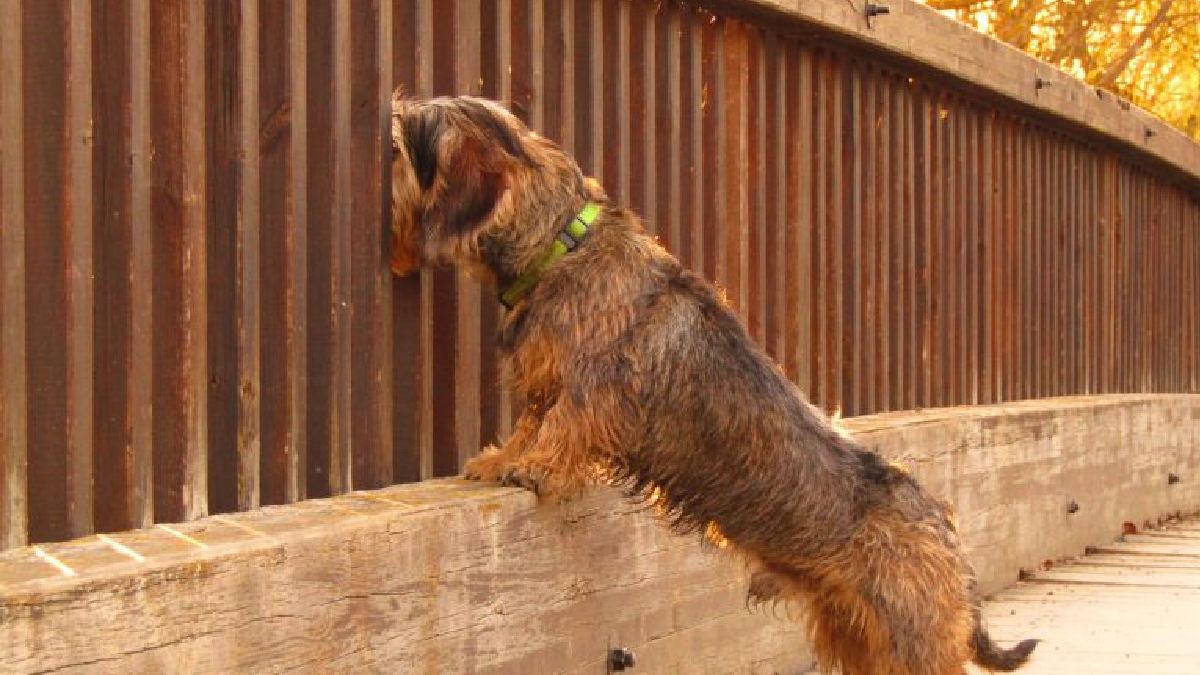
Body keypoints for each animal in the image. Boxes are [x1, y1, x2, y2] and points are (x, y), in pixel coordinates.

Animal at [388, 90, 1036, 672]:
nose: (387, 126)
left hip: (911, 641)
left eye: (406, 145)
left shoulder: (596, 385)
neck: (565, 245)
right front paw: (501, 459)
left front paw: (534, 466)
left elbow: (566, 422)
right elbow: (532, 419)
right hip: (855, 632)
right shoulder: (547, 380)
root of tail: (944, 525)